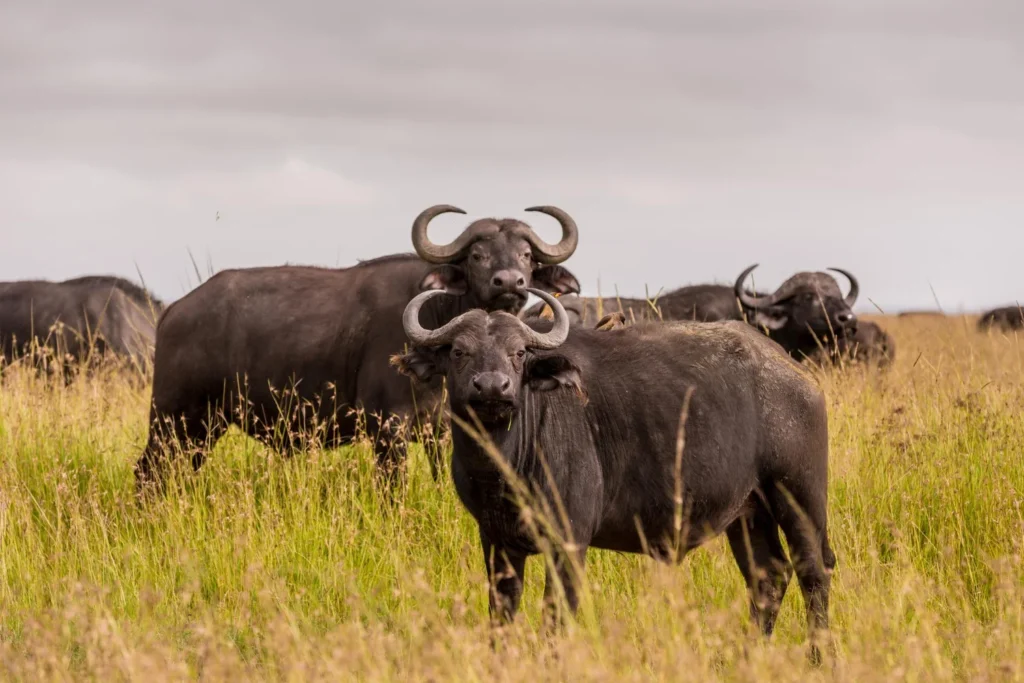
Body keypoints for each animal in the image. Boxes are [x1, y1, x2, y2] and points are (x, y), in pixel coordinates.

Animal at [134, 205, 582, 491]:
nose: (509, 283)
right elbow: (392, 491)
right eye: (477, 254)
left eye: (526, 255)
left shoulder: (441, 431)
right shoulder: (388, 428)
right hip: (173, 419)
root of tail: (174, 310)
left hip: (203, 428)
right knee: (146, 472)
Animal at [395, 288, 835, 662]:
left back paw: (818, 658)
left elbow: (555, 616)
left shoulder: (569, 543)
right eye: (458, 351)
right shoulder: (495, 542)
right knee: (768, 577)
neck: (505, 469)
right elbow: (501, 613)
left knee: (813, 571)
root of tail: (796, 375)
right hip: (748, 513)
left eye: (518, 353)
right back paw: (748, 655)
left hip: (799, 495)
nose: (492, 387)